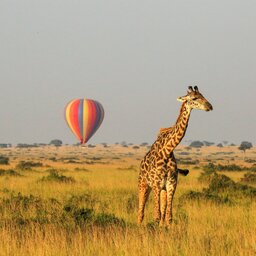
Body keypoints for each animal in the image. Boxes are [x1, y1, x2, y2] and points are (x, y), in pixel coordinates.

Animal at [138, 86, 212, 226]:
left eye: (203, 95)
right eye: (194, 98)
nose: (210, 106)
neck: (167, 151)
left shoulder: (171, 184)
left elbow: (168, 217)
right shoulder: (156, 184)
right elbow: (156, 216)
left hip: (162, 190)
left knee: (161, 213)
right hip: (143, 184)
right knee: (140, 212)